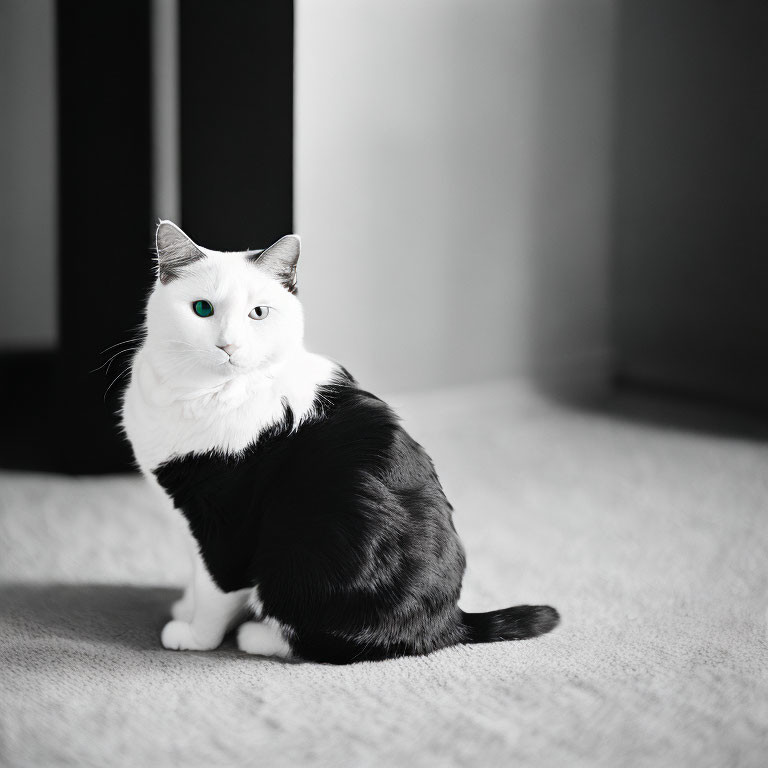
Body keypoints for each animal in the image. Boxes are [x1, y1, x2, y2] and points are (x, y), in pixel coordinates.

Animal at [123, 219, 560, 664]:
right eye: (202, 309)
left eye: (258, 312)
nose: (229, 345)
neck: (204, 392)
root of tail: (451, 620)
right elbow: (198, 574)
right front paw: (186, 605)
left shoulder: (226, 520)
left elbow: (216, 585)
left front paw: (197, 634)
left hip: (298, 548)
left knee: (330, 640)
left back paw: (258, 636)